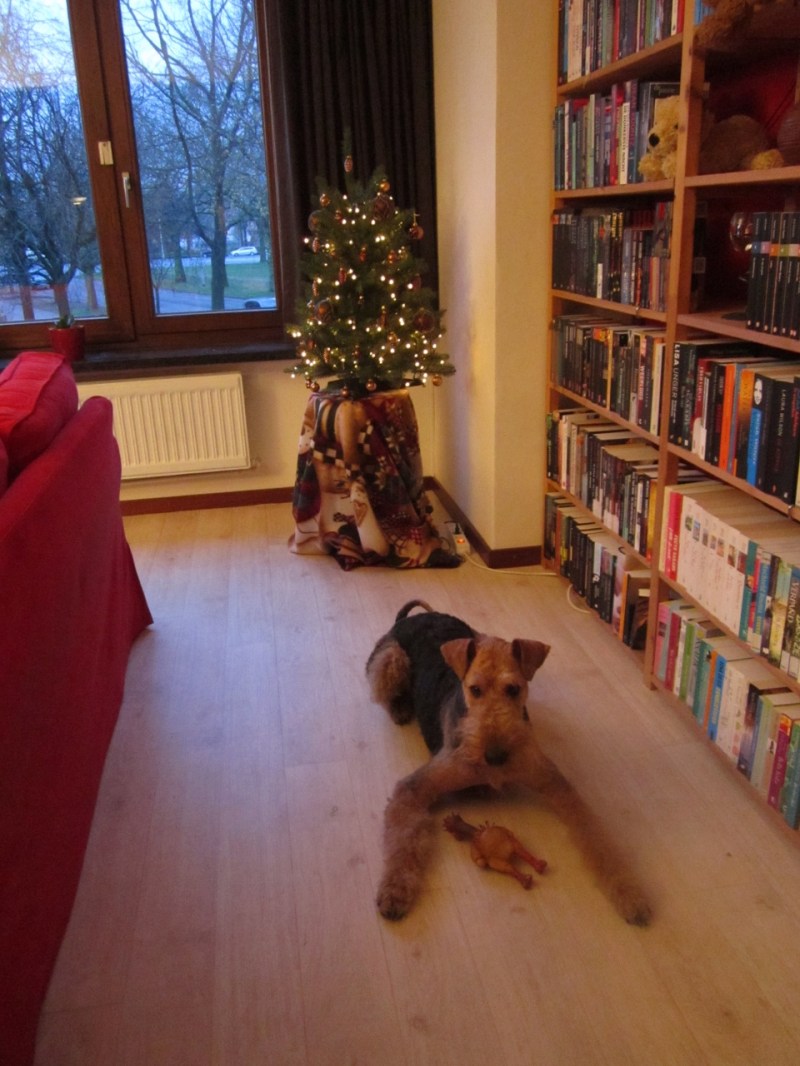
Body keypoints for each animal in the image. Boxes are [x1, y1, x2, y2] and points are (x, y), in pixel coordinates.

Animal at [366, 600, 652, 926]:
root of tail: (416, 616)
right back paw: (401, 709)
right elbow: (403, 838)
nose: (495, 757)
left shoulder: (555, 783)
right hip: (390, 660)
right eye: (474, 689)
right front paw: (394, 892)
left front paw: (631, 896)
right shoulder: (415, 787)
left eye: (514, 689)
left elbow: (596, 835)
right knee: (387, 692)